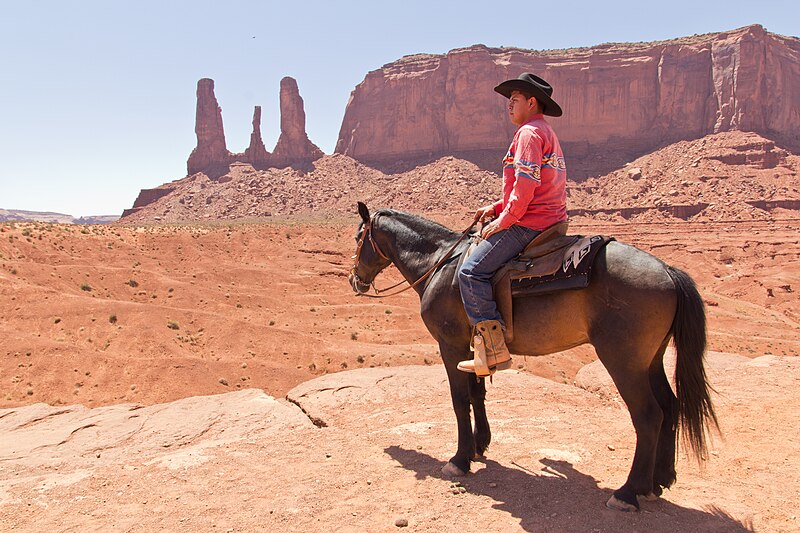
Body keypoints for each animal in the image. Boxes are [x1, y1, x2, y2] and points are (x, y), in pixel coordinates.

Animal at [348, 202, 720, 510]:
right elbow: (477, 393)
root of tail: (668, 270)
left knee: (648, 415)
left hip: (623, 360)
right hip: (651, 358)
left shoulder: (450, 345)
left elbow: (459, 399)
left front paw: (459, 459)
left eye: (357, 237)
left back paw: (628, 492)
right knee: (670, 405)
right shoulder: (472, 348)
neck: (439, 264)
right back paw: (658, 481)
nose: (355, 280)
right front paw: (481, 445)